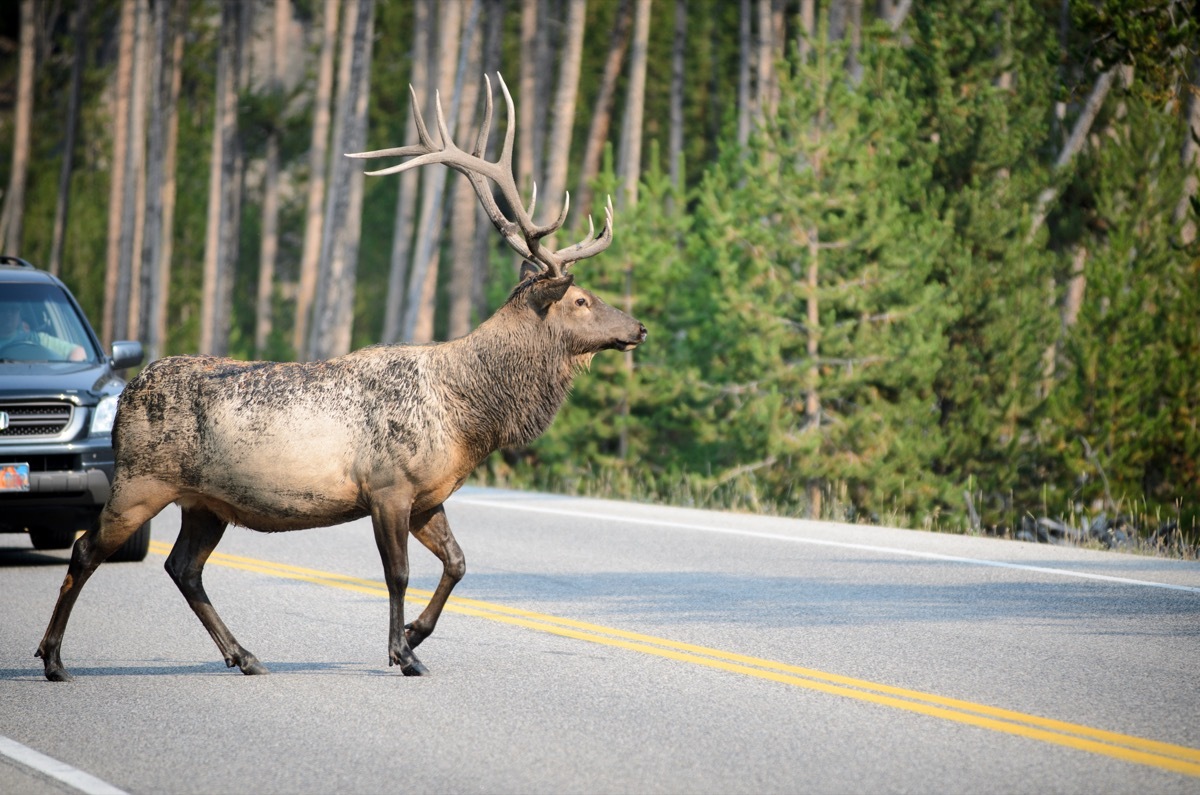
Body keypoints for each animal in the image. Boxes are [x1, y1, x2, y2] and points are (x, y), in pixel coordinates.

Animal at [35, 76, 648, 686]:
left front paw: (416, 635)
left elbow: (457, 562)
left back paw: (245, 655)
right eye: (581, 299)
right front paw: (402, 653)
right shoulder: (388, 486)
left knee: (182, 567)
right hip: (139, 481)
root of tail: (129, 392)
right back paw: (54, 658)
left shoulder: (426, 495)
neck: (467, 416)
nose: (638, 327)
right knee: (87, 551)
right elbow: (398, 574)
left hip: (204, 502)